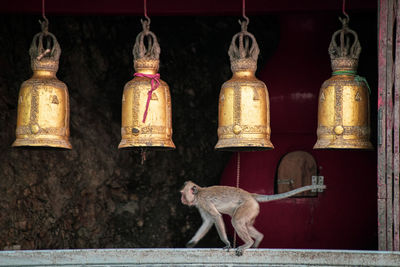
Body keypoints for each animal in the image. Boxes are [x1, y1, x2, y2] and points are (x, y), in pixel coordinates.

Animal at [180, 181, 326, 256]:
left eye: (182, 194)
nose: (181, 199)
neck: (198, 193)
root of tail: (250, 194)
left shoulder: (204, 202)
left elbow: (216, 217)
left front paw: (226, 243)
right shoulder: (200, 205)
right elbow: (208, 221)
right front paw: (191, 243)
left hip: (248, 205)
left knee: (236, 221)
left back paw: (248, 243)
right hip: (253, 209)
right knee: (246, 225)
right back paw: (257, 239)